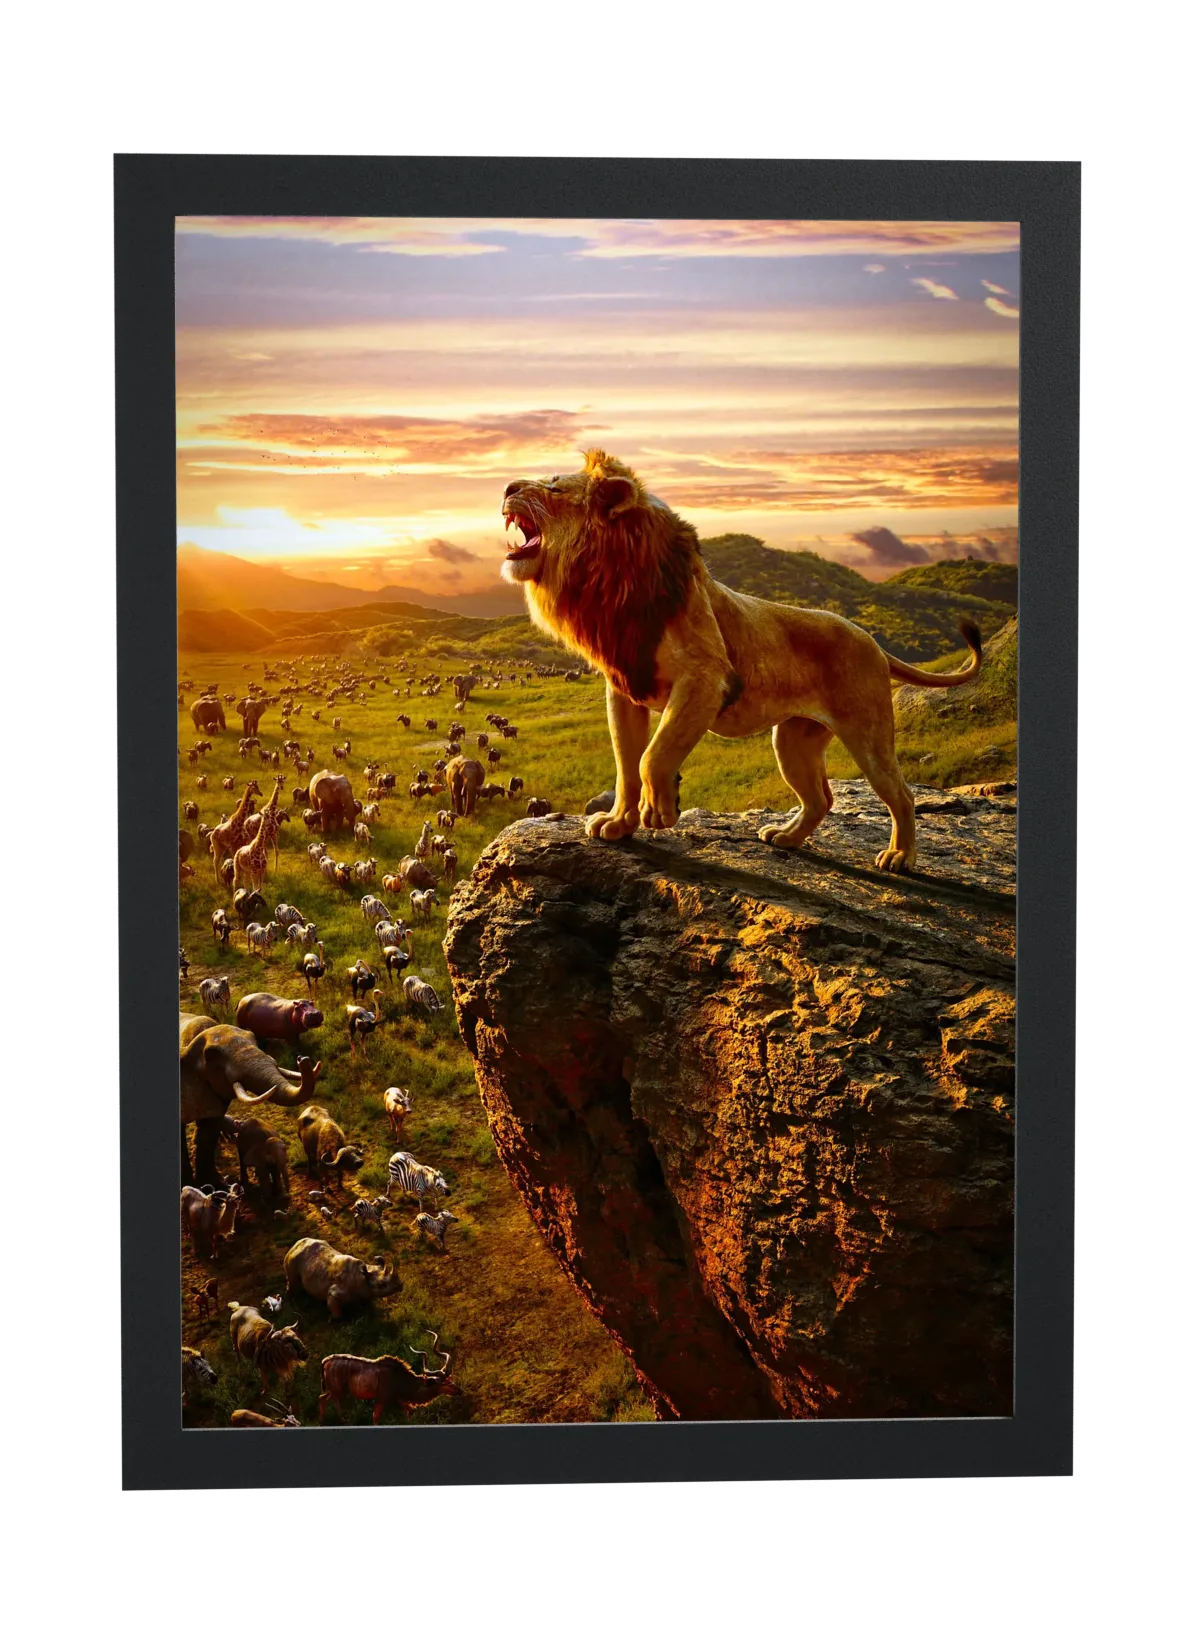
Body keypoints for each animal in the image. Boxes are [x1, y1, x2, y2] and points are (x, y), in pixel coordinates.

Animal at [501, 450, 983, 873]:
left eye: (553, 487)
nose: (506, 487)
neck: (610, 586)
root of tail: (872, 641)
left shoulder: (707, 678)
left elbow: (653, 756)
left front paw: (661, 811)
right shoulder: (624, 688)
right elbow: (625, 765)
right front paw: (619, 824)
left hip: (868, 734)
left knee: (901, 793)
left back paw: (900, 857)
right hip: (793, 741)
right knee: (821, 798)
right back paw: (785, 838)